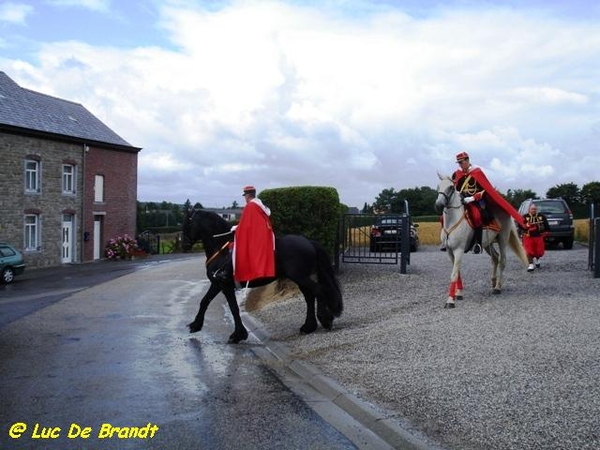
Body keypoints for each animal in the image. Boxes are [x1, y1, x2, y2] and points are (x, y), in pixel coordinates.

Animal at [182, 209, 342, 342]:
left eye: (188, 223)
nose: (184, 246)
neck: (221, 250)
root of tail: (308, 241)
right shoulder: (217, 284)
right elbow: (205, 301)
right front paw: (196, 325)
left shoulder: (225, 285)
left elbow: (233, 308)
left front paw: (237, 335)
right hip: (300, 279)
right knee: (310, 297)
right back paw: (308, 327)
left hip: (301, 277)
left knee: (319, 291)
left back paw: (325, 320)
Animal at [434, 174, 528, 308]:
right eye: (439, 186)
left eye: (451, 187)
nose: (438, 205)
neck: (452, 221)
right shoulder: (449, 251)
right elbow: (457, 272)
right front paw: (458, 293)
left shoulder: (459, 250)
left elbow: (454, 274)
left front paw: (450, 300)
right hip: (488, 243)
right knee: (495, 257)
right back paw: (493, 282)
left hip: (503, 239)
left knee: (502, 260)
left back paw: (498, 287)